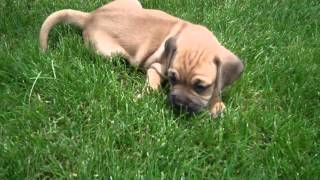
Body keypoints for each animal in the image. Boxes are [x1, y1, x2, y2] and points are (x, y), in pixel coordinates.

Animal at [40, 0, 245, 117]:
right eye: (172, 78)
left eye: (200, 87)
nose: (178, 102)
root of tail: (90, 16)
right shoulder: (156, 68)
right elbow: (152, 87)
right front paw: (143, 95)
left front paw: (217, 105)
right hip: (110, 53)